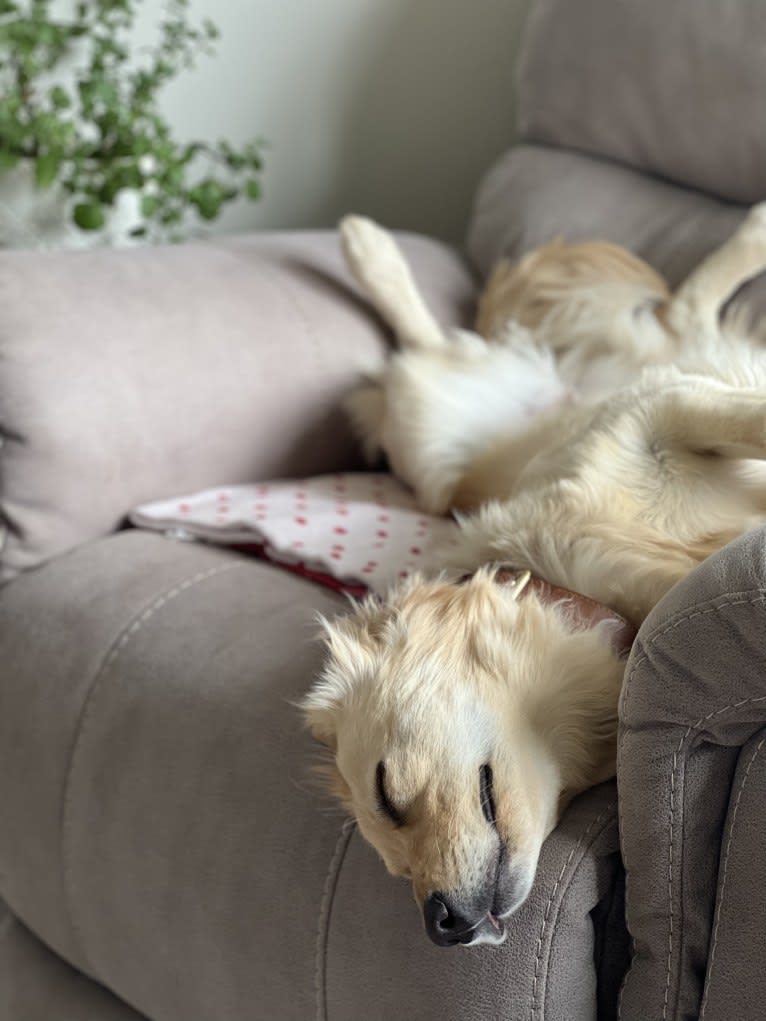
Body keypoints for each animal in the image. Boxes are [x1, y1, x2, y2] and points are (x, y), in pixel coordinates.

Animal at [302, 207, 766, 947]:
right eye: (393, 869)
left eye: (387, 792)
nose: (442, 925)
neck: (594, 591)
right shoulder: (669, 407)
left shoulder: (664, 413)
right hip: (432, 441)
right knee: (681, 314)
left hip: (434, 425)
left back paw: (364, 243)